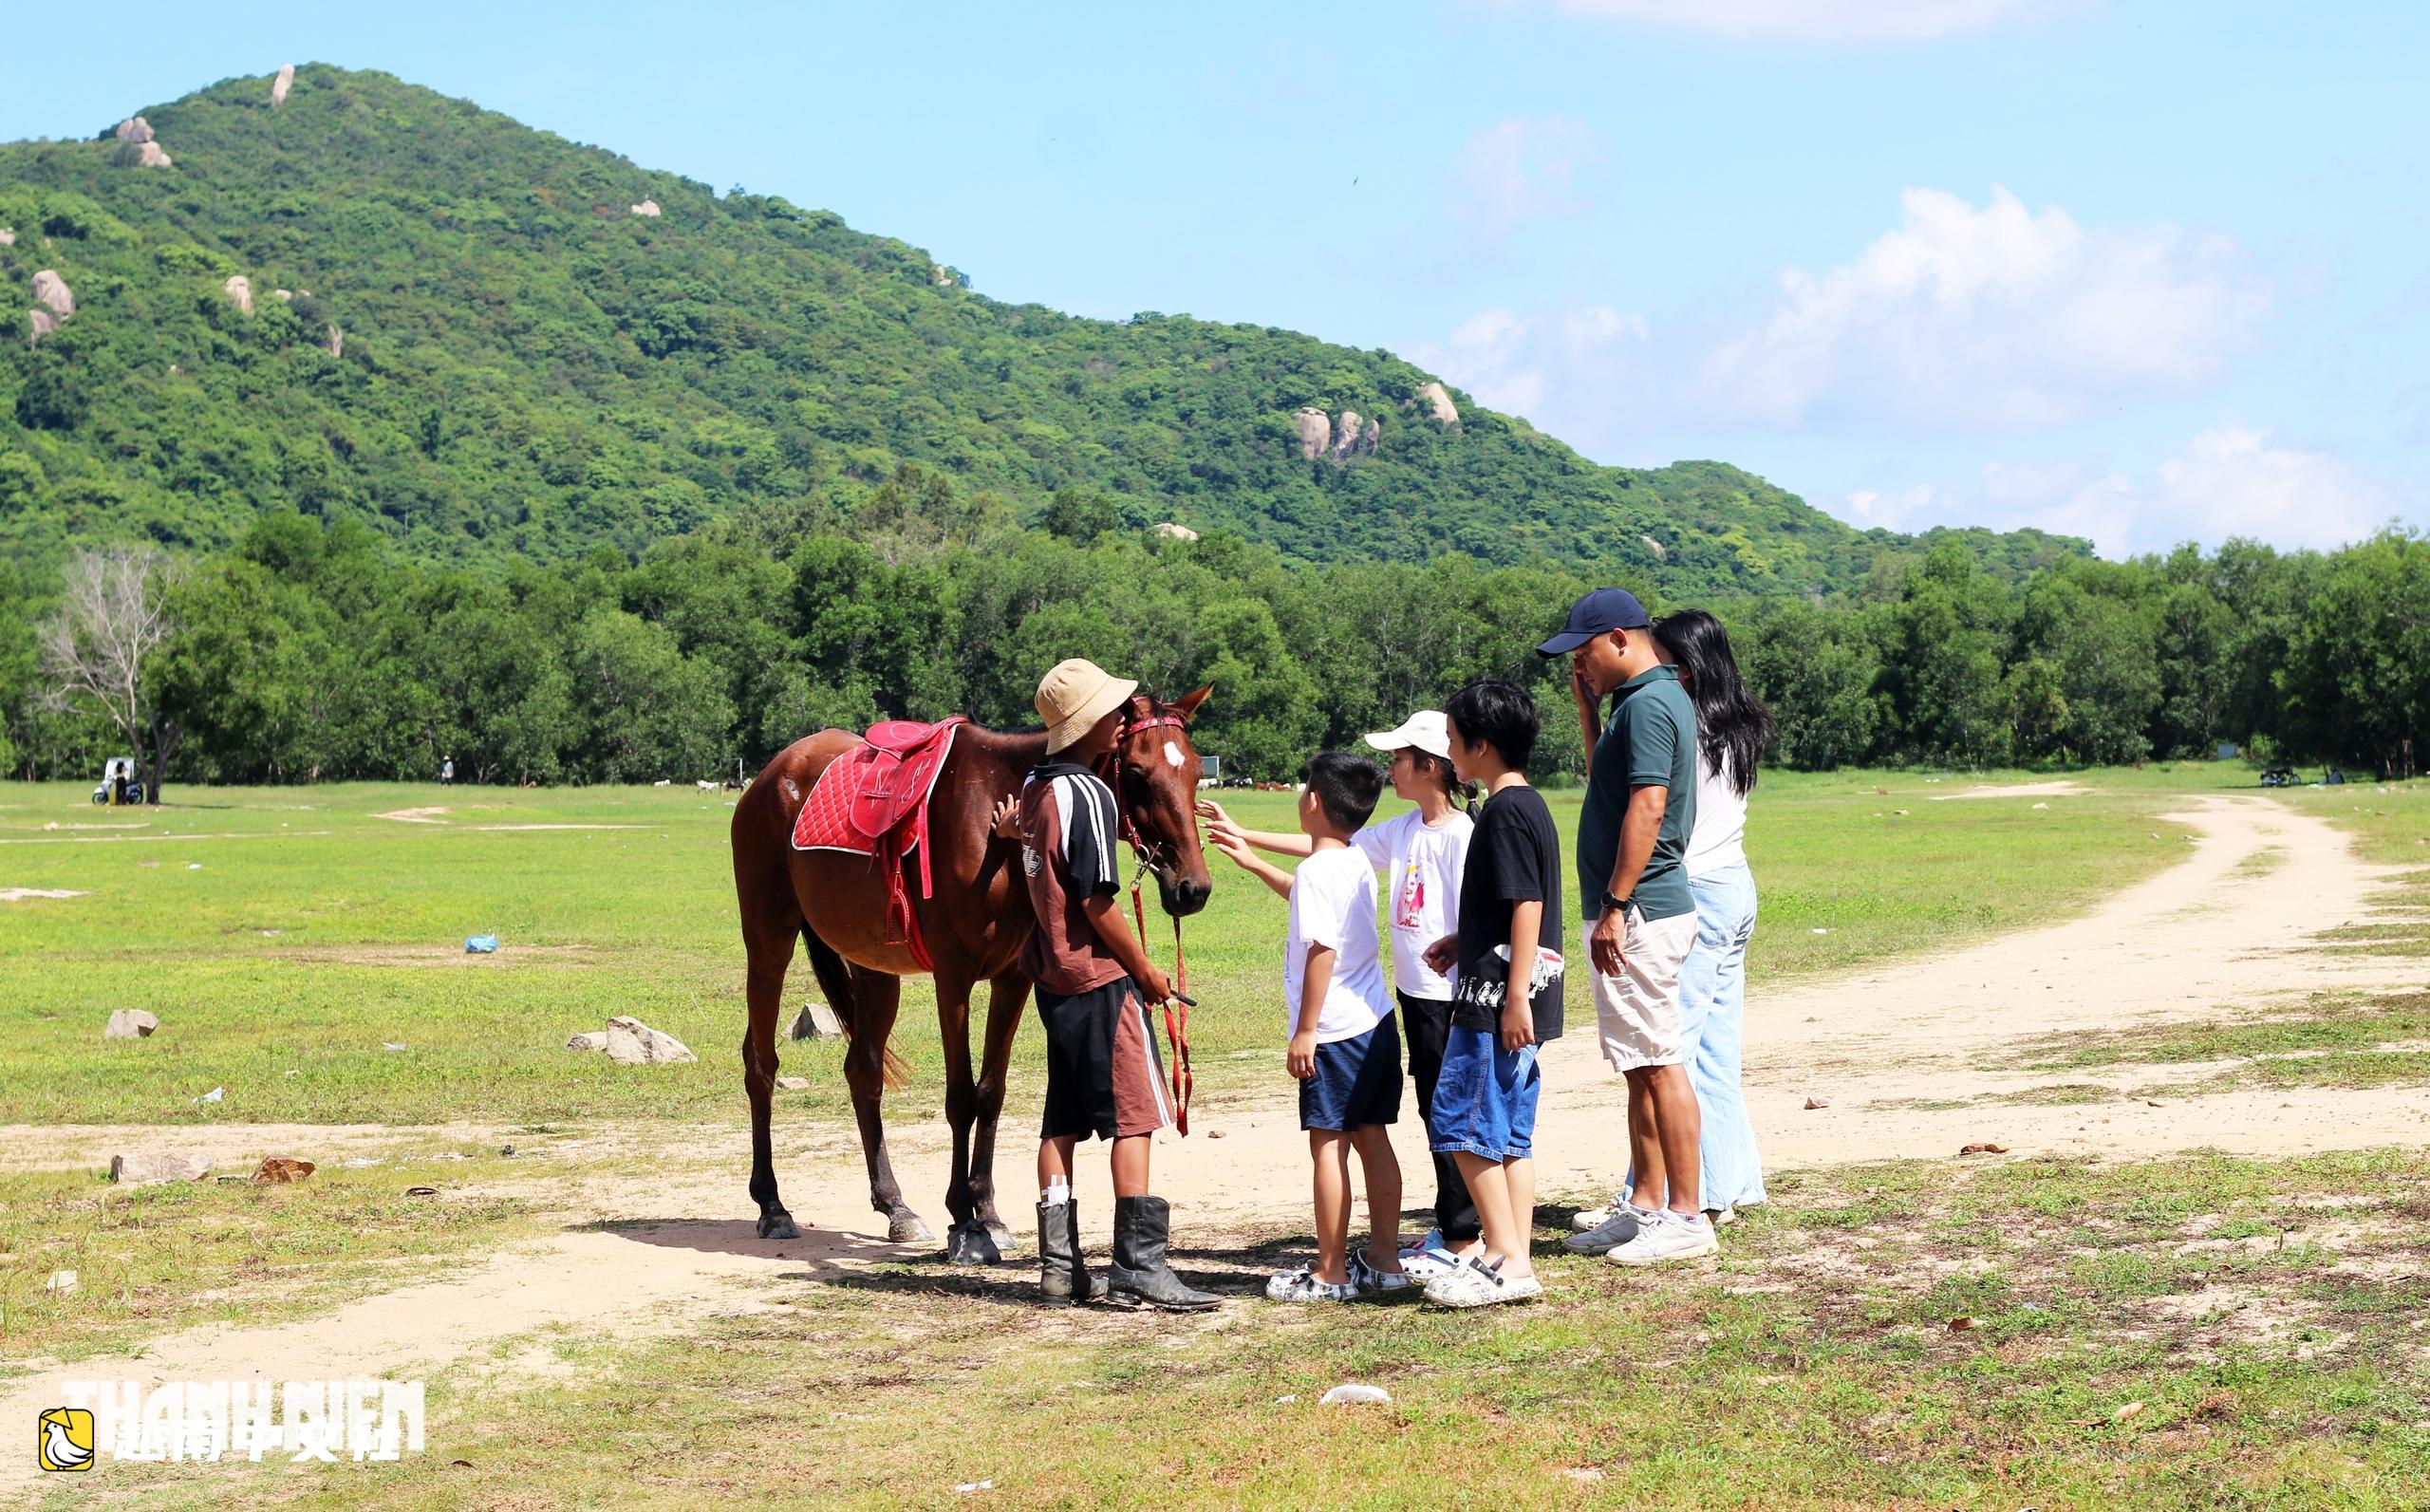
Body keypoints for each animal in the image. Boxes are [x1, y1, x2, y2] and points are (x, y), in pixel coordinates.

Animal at [729, 688, 1215, 1260]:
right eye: (1136, 772)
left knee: (863, 1072)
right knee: (761, 1064)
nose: (1193, 888)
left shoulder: (1013, 980)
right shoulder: (954, 978)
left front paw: (988, 1212)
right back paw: (772, 1205)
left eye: (1197, 772)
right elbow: (960, 1096)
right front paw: (964, 1220)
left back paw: (895, 1207)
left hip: (874, 970)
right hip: (769, 943)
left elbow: (990, 1092)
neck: (998, 823)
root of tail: (771, 775)